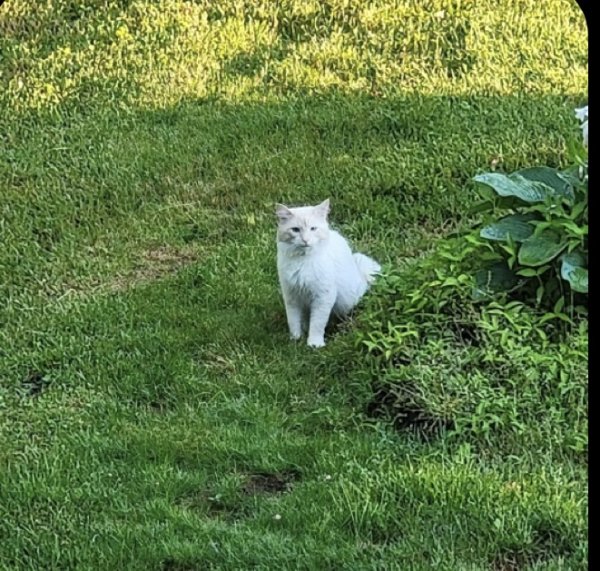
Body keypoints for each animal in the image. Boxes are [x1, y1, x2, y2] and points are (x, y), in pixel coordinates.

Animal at [276, 197, 380, 348]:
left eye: (313, 228)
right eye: (295, 230)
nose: (305, 240)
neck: (303, 261)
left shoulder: (323, 297)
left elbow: (317, 324)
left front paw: (314, 344)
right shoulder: (291, 296)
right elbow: (294, 321)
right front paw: (295, 339)